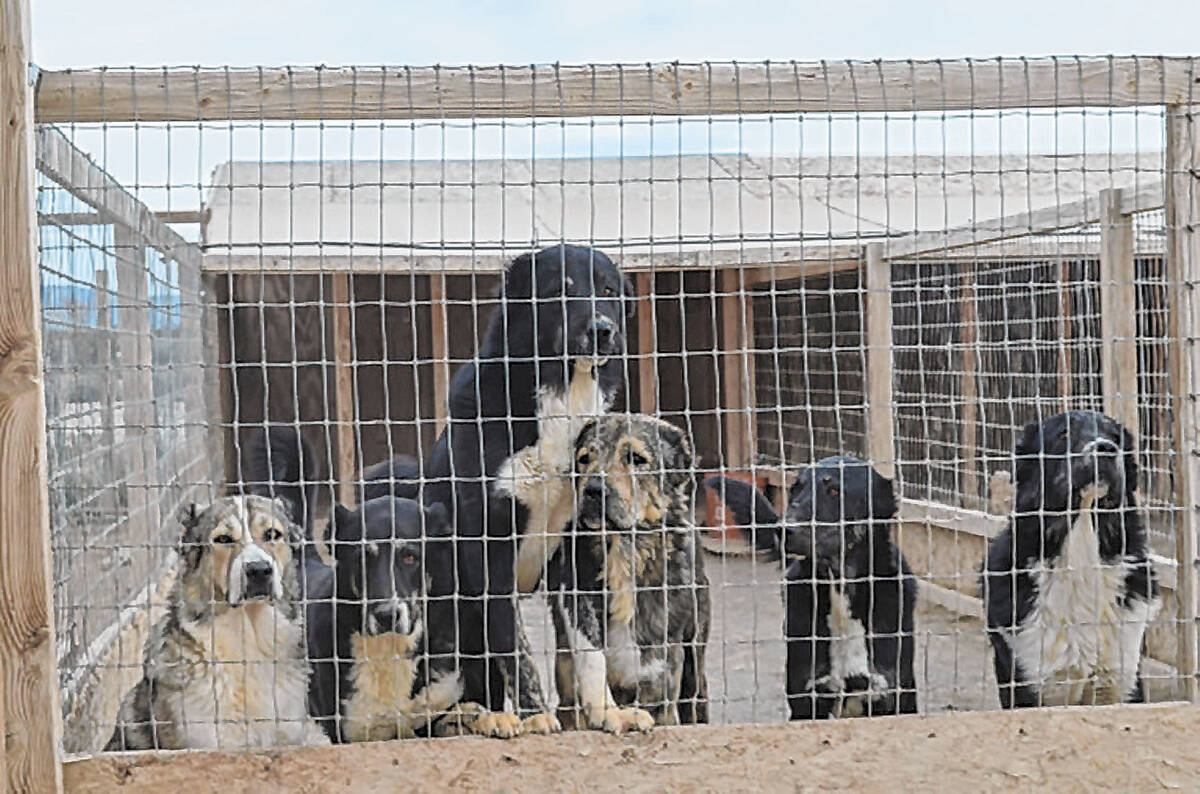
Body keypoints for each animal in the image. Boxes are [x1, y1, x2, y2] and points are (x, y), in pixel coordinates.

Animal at [417, 245, 633, 738]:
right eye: (559, 292)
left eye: (609, 290)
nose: (602, 330)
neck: (562, 394)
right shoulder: (488, 548)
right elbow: (513, 643)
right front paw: (535, 714)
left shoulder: (578, 546)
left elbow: (589, 643)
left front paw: (607, 710)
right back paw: (481, 716)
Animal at [700, 453, 916, 719]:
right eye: (796, 489)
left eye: (834, 491)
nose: (782, 529)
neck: (839, 588)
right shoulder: (807, 699)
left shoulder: (891, 696)